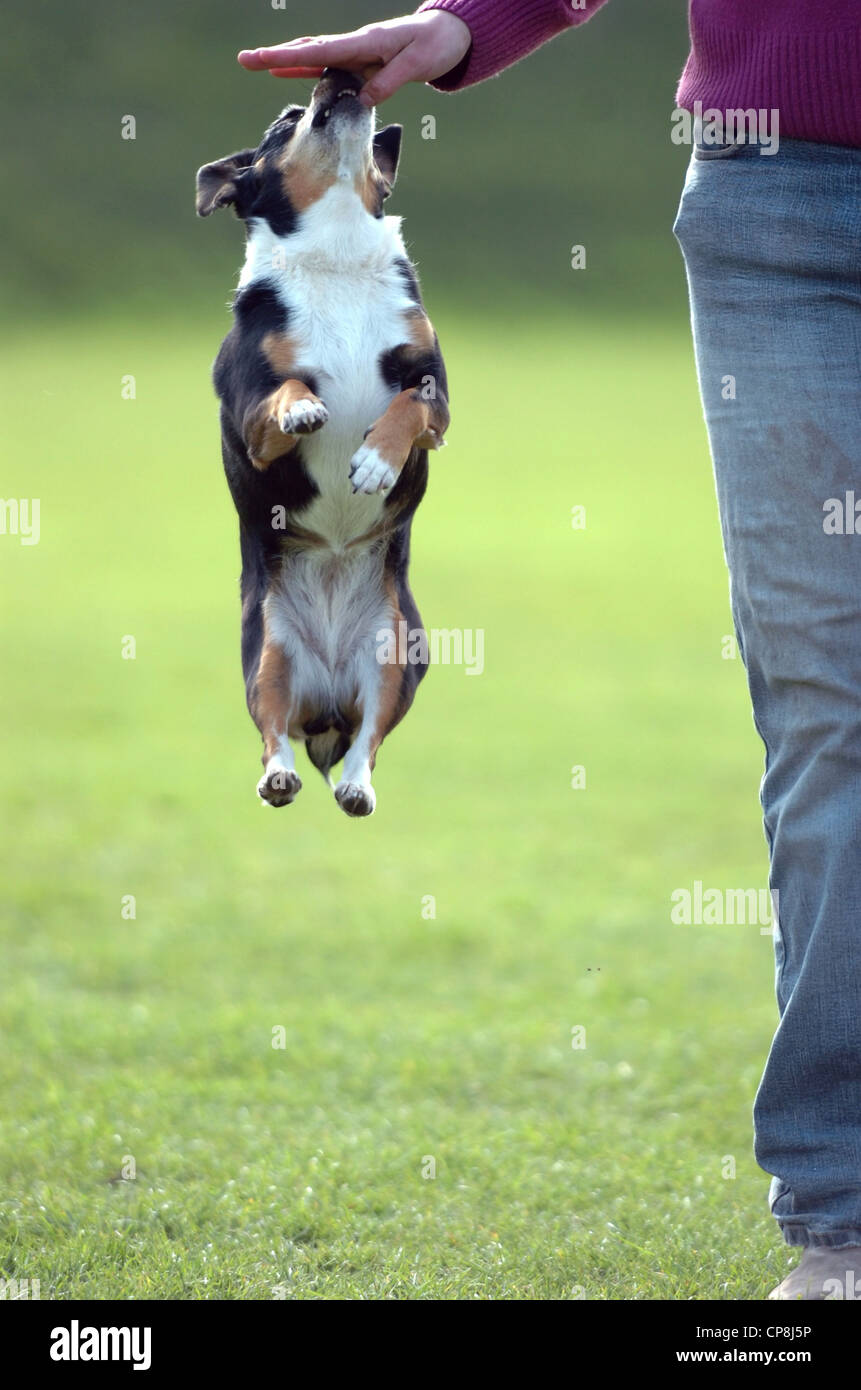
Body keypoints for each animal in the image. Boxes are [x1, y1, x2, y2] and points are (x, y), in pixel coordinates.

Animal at [197, 67, 450, 811]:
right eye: (285, 123)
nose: (339, 72)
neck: (335, 260)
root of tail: (327, 706)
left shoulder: (437, 399)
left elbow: (404, 406)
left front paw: (373, 463)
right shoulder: (249, 410)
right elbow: (285, 392)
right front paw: (307, 411)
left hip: (393, 651)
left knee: (368, 742)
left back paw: (357, 786)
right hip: (270, 652)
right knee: (271, 732)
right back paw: (279, 776)